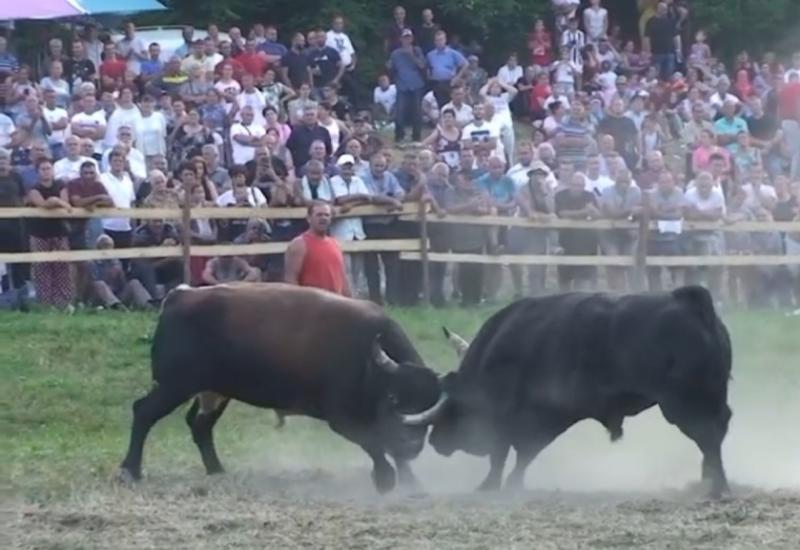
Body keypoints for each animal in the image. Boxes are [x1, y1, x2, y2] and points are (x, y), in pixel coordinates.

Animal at [119, 284, 444, 496]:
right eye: (393, 397)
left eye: (430, 405)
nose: (413, 445)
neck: (368, 361)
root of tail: (182, 296)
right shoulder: (342, 420)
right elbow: (374, 444)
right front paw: (385, 480)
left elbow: (387, 447)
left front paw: (411, 482)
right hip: (175, 386)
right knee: (144, 412)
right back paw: (130, 471)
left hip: (214, 391)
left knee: (199, 425)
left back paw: (216, 470)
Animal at [416, 286, 736, 502]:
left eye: (451, 407)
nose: (434, 441)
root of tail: (692, 303)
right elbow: (518, 453)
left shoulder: (527, 417)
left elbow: (509, 452)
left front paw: (494, 485)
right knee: (716, 434)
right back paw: (708, 482)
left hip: (685, 405)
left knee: (709, 436)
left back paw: (716, 487)